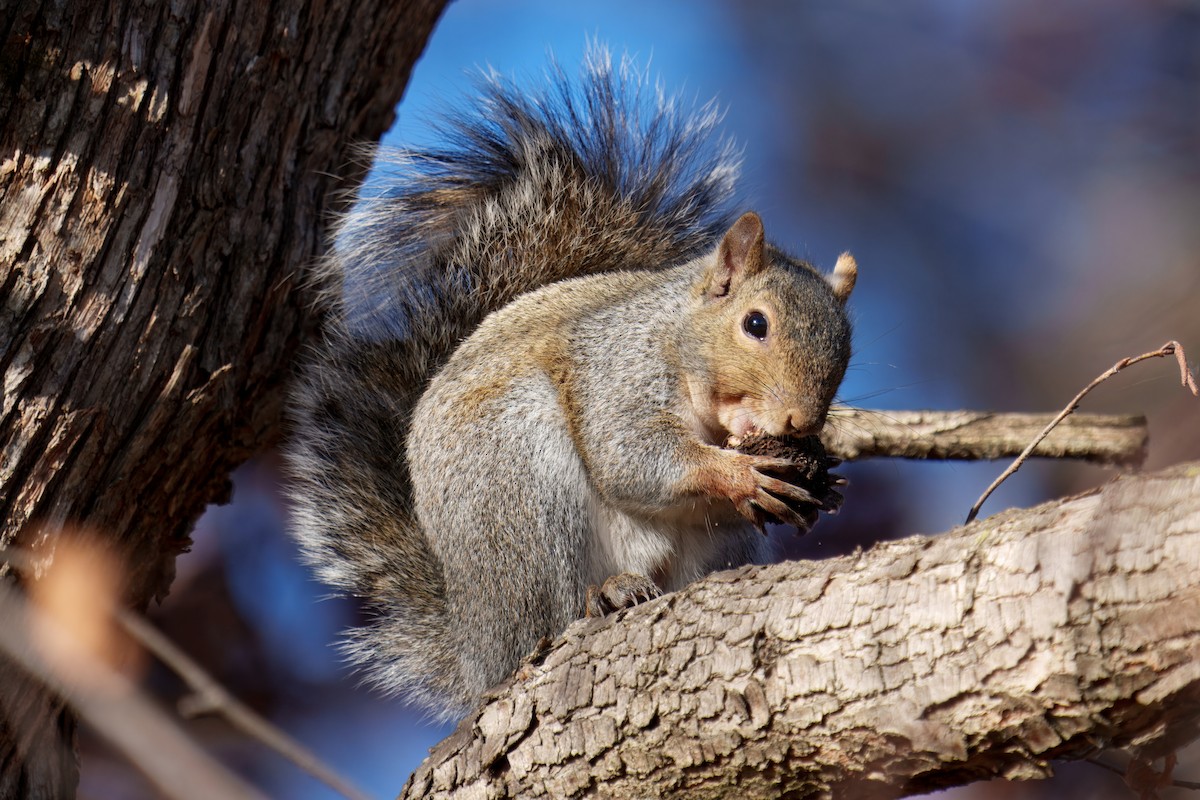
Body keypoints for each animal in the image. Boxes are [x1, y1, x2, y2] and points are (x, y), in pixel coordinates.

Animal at [285, 50, 857, 720]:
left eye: (848, 343)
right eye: (756, 324)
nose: (800, 422)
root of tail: (476, 644)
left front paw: (817, 480)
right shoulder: (618, 370)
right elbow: (631, 456)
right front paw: (739, 473)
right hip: (521, 488)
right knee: (546, 621)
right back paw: (597, 599)